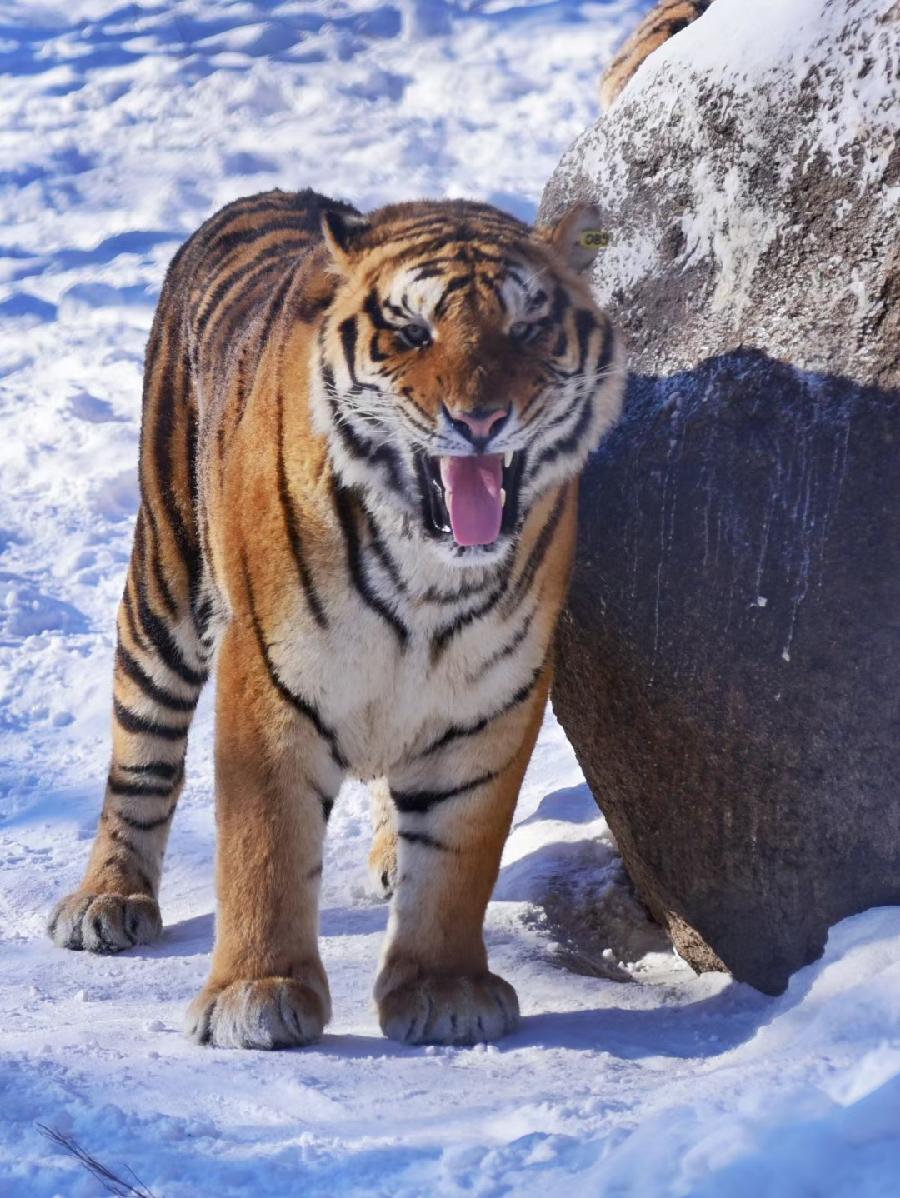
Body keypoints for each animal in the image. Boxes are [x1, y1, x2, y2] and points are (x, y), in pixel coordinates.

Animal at [47, 188, 624, 1049]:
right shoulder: (268, 673)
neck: (428, 577)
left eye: (526, 329)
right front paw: (254, 995)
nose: (480, 420)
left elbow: (457, 853)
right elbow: (267, 849)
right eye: (413, 331)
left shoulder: (494, 694)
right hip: (166, 586)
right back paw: (107, 900)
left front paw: (444, 989)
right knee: (141, 750)